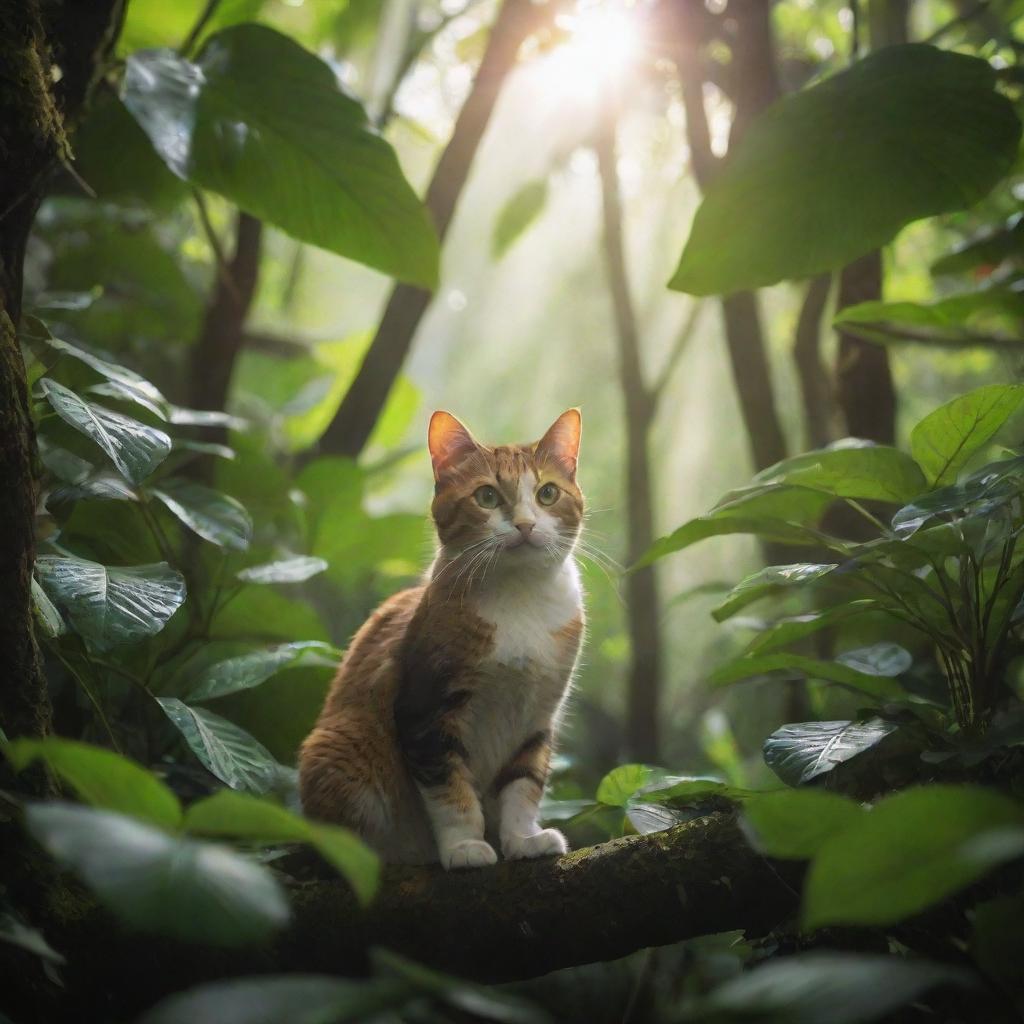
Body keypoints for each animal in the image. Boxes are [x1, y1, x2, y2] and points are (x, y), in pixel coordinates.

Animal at [299, 409, 585, 872]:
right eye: (487, 496)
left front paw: (523, 839)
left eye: (547, 493)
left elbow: (523, 785)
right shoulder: (425, 709)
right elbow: (450, 791)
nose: (525, 525)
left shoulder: (538, 717)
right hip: (336, 748)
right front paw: (465, 846)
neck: (520, 598)